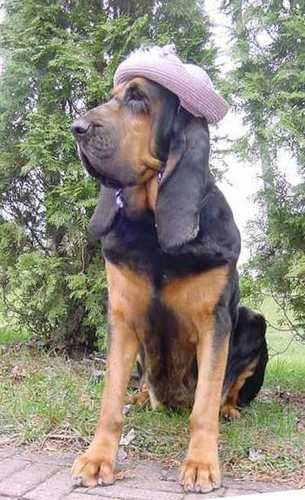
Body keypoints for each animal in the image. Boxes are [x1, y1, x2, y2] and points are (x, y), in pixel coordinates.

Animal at [70, 72, 268, 494]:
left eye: (138, 99)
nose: (76, 128)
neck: (152, 221)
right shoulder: (122, 318)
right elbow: (110, 402)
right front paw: (97, 459)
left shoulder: (215, 323)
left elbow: (204, 405)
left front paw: (201, 464)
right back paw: (143, 397)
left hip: (252, 320)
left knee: (228, 390)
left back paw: (230, 410)